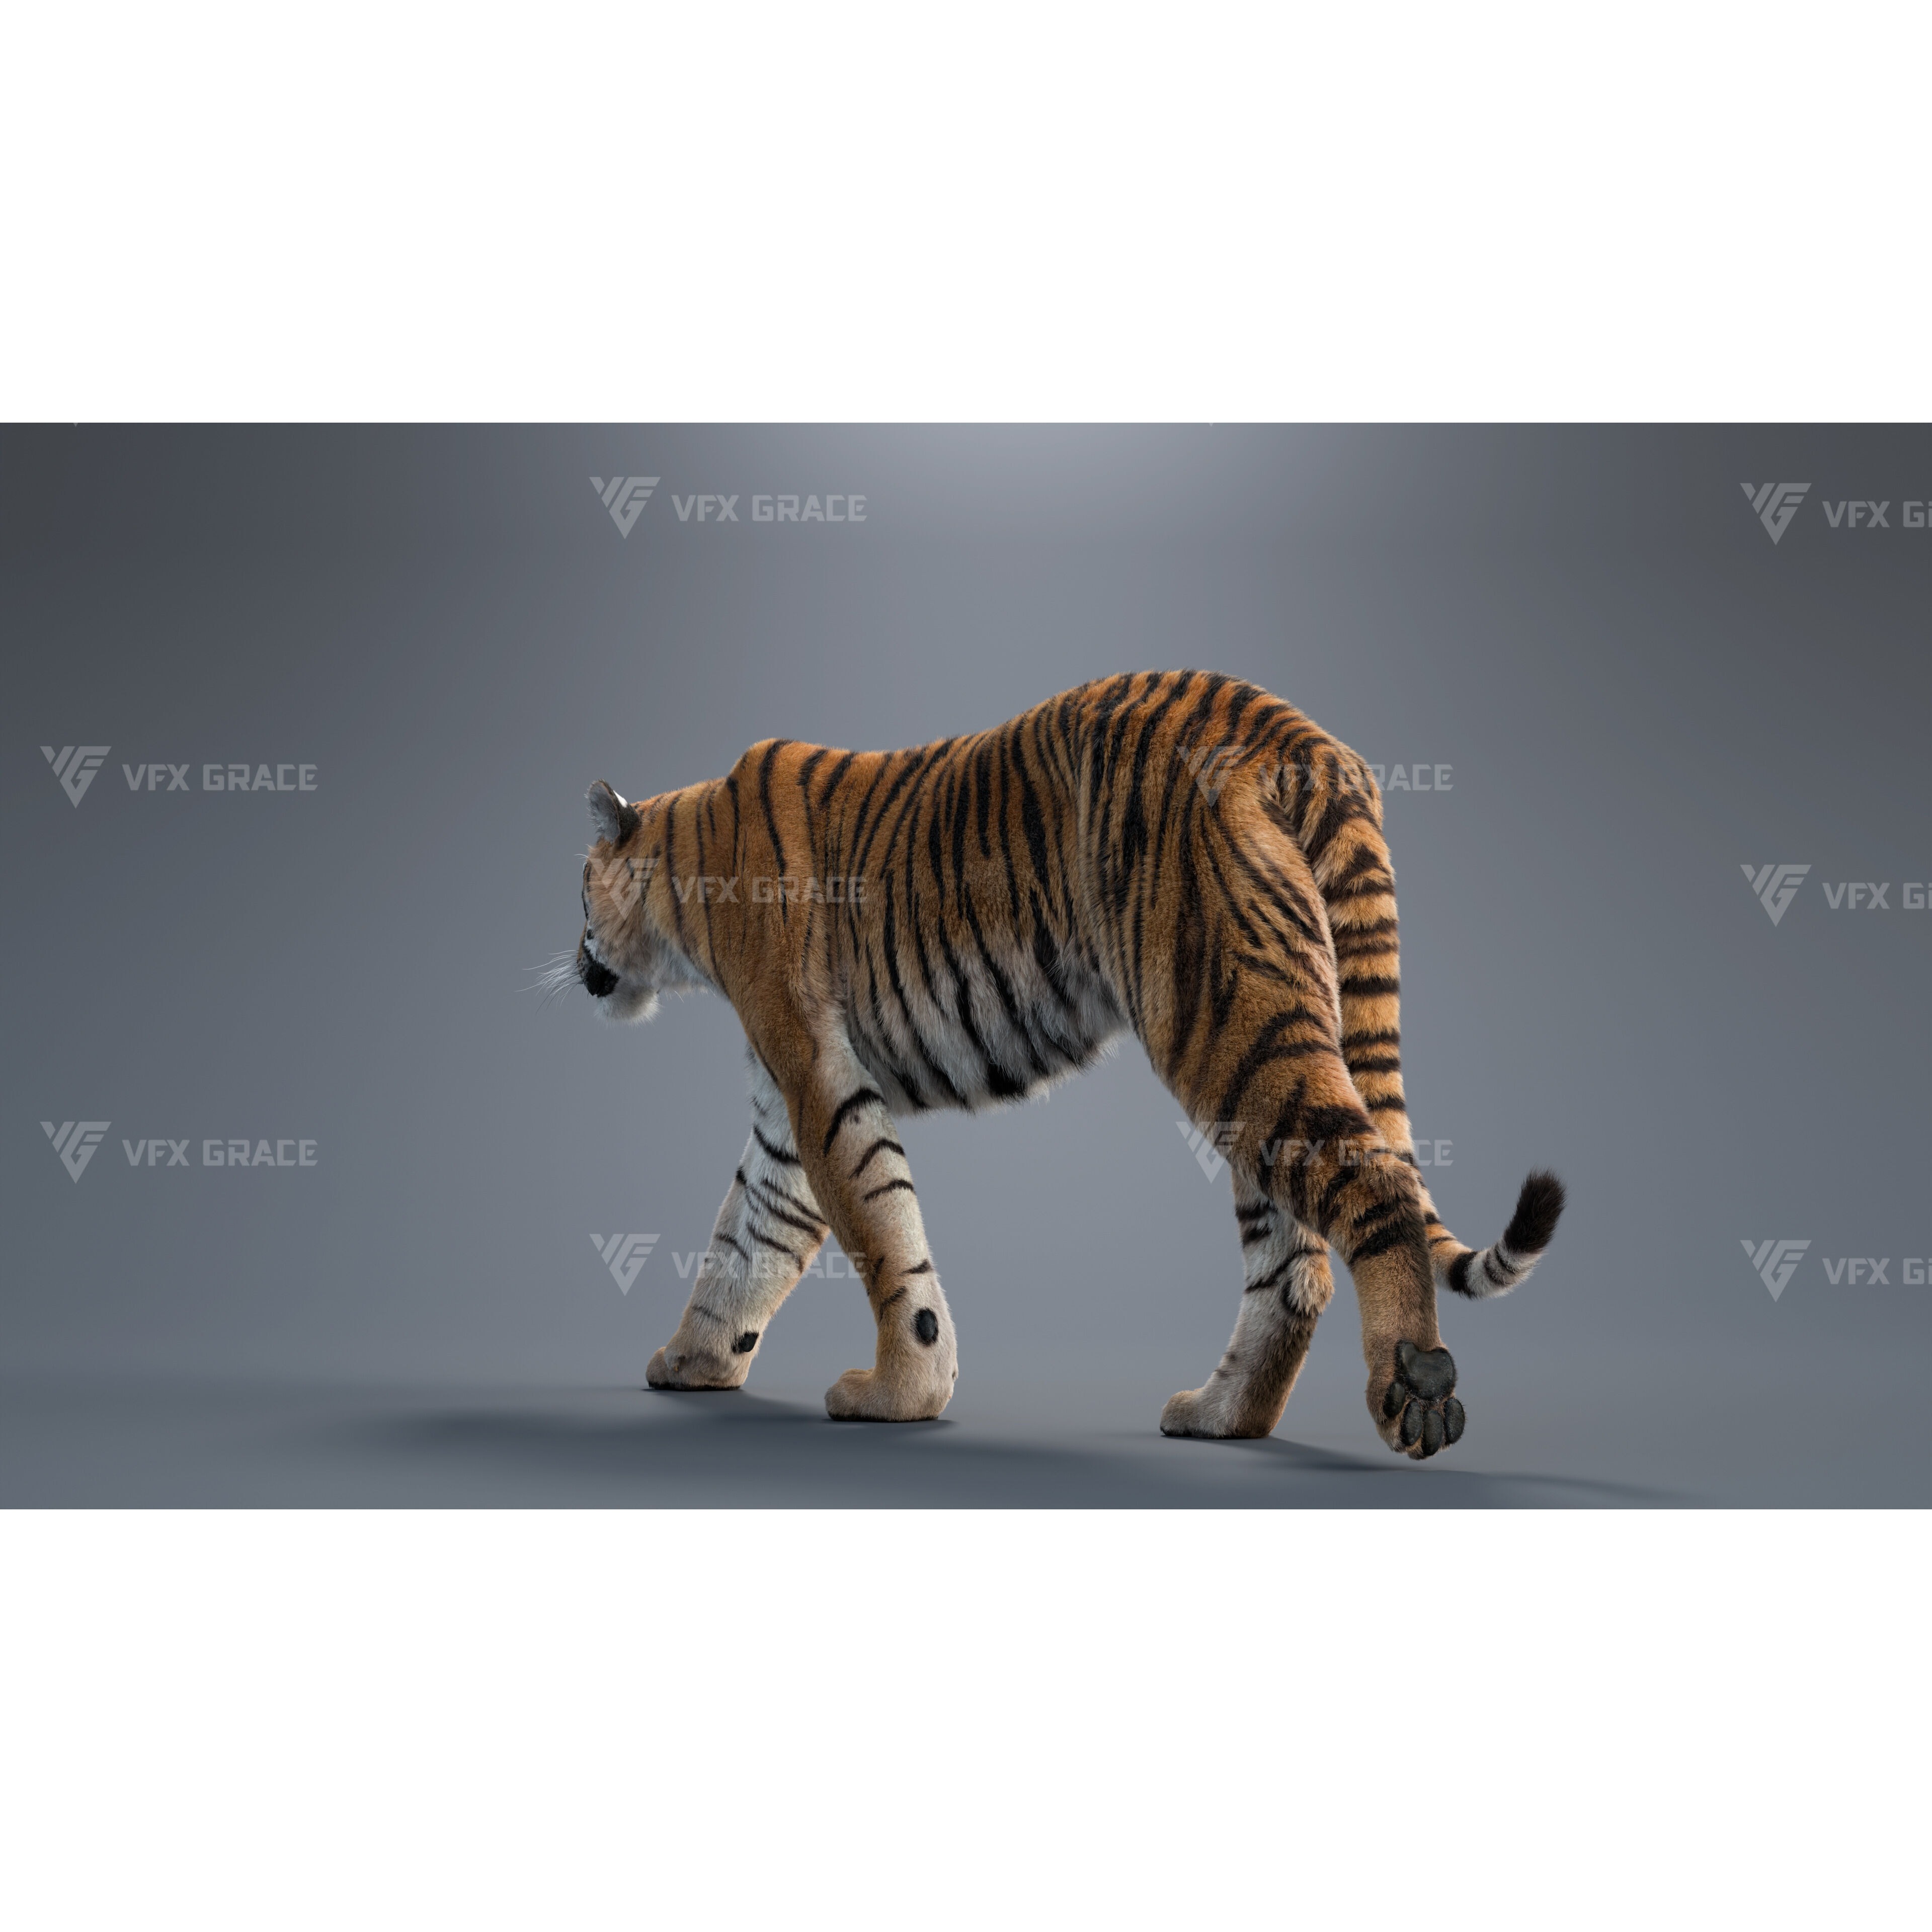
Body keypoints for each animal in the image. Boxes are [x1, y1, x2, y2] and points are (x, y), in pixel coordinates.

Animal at [567, 670, 1564, 1458]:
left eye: (578, 889)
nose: (577, 961)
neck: (685, 891)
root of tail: (1293, 730)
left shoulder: (817, 1076)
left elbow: (876, 1230)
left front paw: (898, 1395)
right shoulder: (787, 1108)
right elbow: (749, 1237)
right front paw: (694, 1362)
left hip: (1228, 1020)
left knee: (1374, 1186)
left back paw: (1415, 1387)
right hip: (1258, 1052)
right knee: (1294, 1266)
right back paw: (1220, 1417)